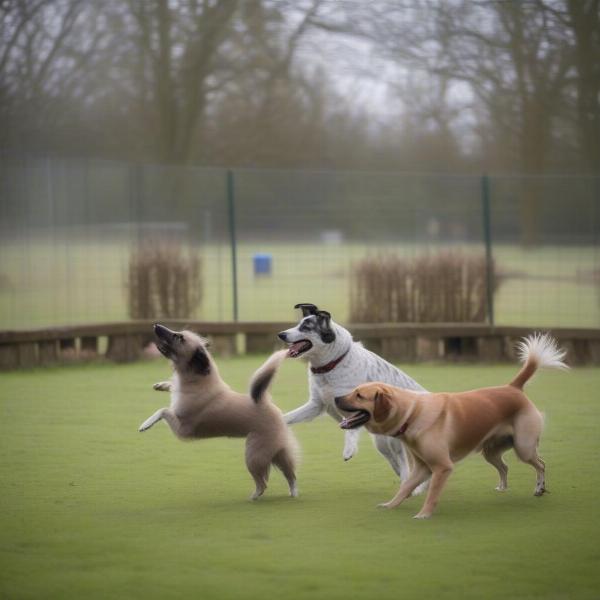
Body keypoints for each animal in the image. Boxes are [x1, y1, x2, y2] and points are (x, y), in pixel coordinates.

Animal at [280, 304, 426, 488]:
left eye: (305, 327)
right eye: (298, 324)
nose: (281, 334)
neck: (332, 364)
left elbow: (350, 430)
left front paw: (349, 450)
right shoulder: (316, 405)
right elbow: (286, 417)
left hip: (395, 441)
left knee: (405, 465)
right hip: (383, 443)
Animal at [338, 336, 568, 516]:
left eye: (359, 395)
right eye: (355, 391)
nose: (336, 398)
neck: (414, 413)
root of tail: (513, 387)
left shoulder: (442, 467)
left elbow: (431, 495)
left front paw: (423, 515)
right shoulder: (421, 468)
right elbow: (404, 489)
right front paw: (390, 505)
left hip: (523, 447)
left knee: (541, 464)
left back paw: (539, 488)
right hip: (491, 451)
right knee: (504, 466)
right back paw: (502, 488)